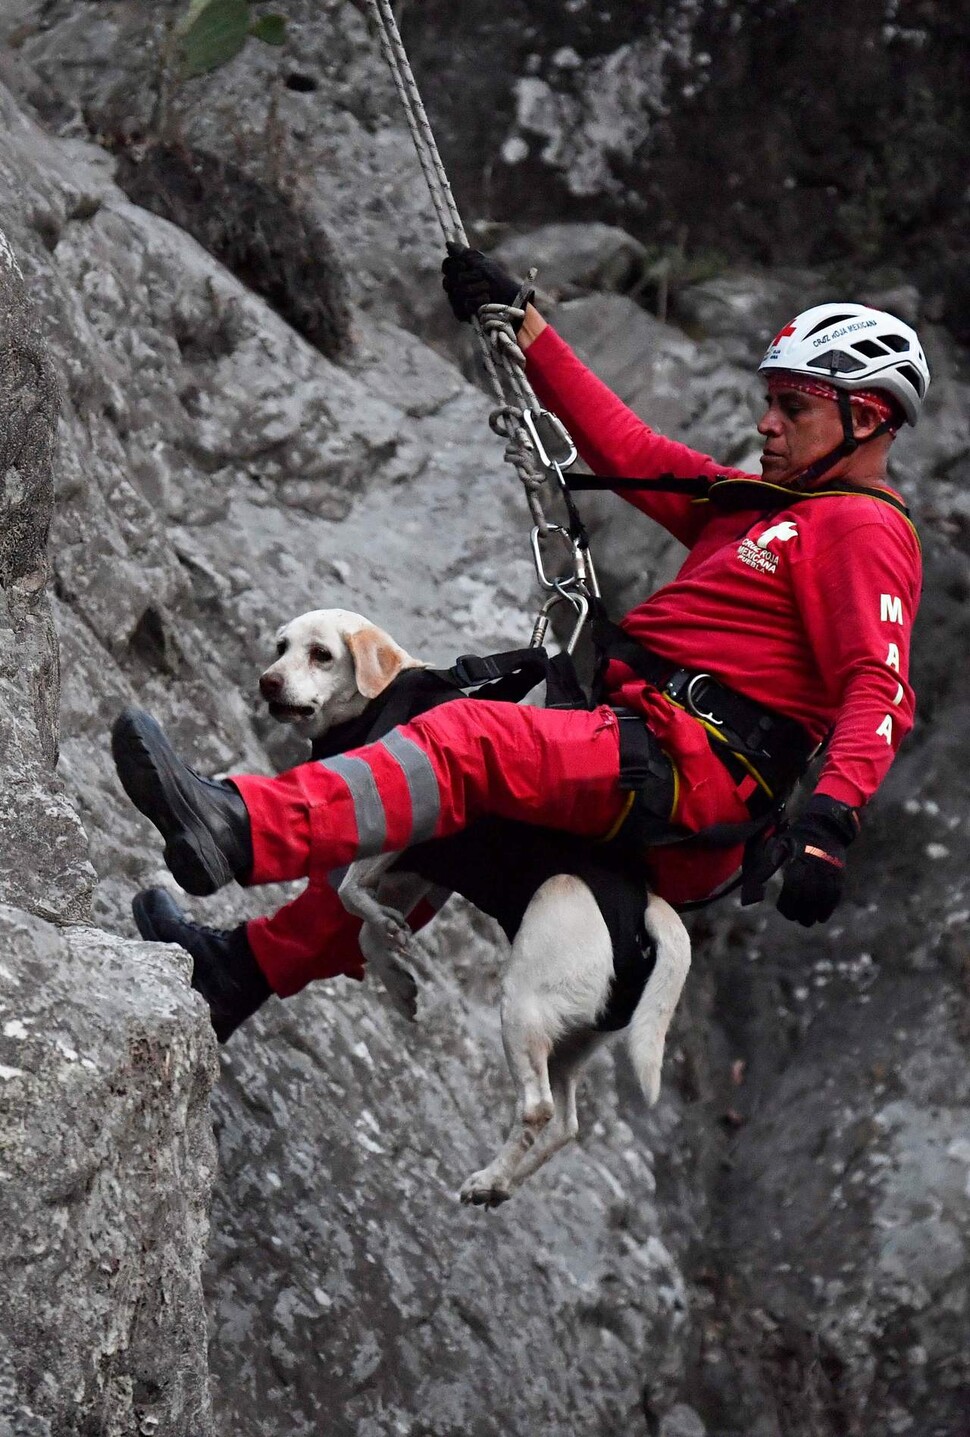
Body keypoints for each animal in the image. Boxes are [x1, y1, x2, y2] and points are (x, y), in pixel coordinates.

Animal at [258, 603, 689, 1201]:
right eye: (280, 647)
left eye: (321, 654)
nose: (267, 682)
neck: (378, 701)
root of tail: (650, 911)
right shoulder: (420, 869)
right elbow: (368, 923)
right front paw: (397, 976)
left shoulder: (406, 831)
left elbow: (349, 895)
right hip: (575, 1038)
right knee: (568, 1124)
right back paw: (501, 1183)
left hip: (523, 1006)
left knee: (538, 1109)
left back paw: (487, 1179)